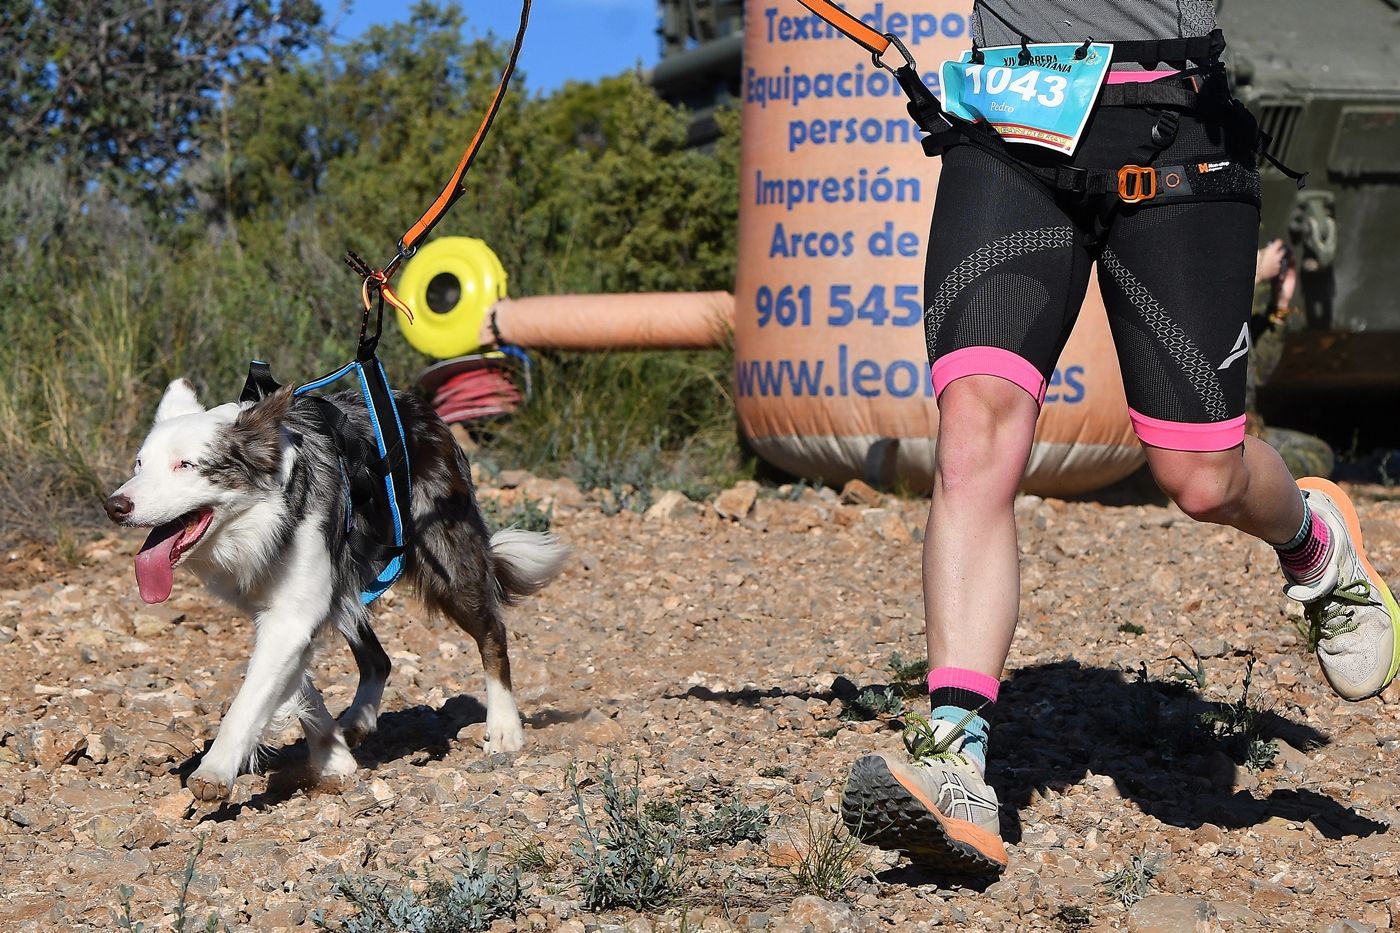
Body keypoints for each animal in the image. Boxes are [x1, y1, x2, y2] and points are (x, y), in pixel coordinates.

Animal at [102, 378, 568, 801]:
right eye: (139, 464)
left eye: (186, 465)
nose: (114, 506)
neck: (263, 515)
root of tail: (423, 409)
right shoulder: (281, 611)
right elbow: (294, 687)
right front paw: (334, 756)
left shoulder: (292, 616)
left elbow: (249, 699)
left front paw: (215, 770)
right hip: (346, 588)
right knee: (379, 659)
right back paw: (359, 718)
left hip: (448, 563)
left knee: (493, 633)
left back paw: (504, 727)